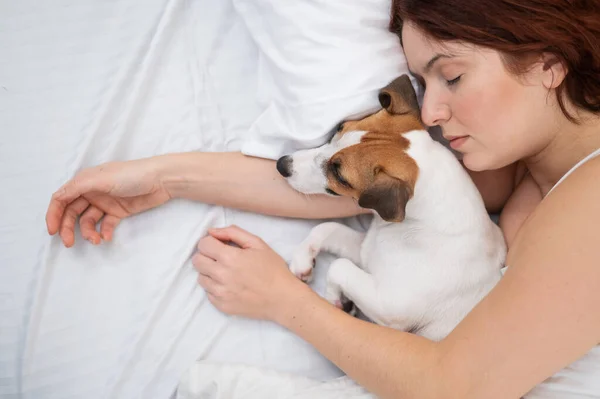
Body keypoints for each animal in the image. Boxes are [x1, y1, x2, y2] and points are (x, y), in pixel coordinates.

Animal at [276, 75, 506, 340]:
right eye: (340, 128)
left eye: (340, 176)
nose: (282, 165)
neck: (418, 223)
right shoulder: (367, 254)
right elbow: (326, 228)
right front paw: (302, 260)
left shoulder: (389, 304)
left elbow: (338, 266)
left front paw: (336, 299)